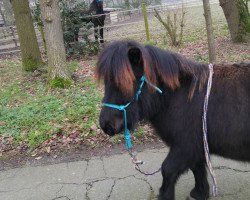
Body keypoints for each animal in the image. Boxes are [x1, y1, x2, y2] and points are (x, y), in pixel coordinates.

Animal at [96, 39, 250, 199]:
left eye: (126, 82)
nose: (106, 125)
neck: (179, 97)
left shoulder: (184, 147)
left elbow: (167, 169)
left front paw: (166, 195)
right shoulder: (195, 148)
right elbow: (197, 168)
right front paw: (199, 193)